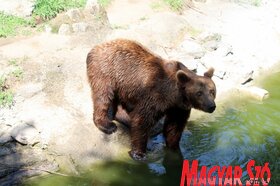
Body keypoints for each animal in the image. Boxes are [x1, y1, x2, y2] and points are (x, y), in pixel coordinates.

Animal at [86, 38, 217, 161]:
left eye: (212, 91)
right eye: (199, 93)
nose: (211, 106)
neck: (174, 95)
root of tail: (96, 47)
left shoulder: (179, 108)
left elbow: (174, 127)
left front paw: (174, 148)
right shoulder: (155, 94)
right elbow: (142, 120)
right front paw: (139, 153)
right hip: (107, 71)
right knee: (103, 96)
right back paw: (107, 125)